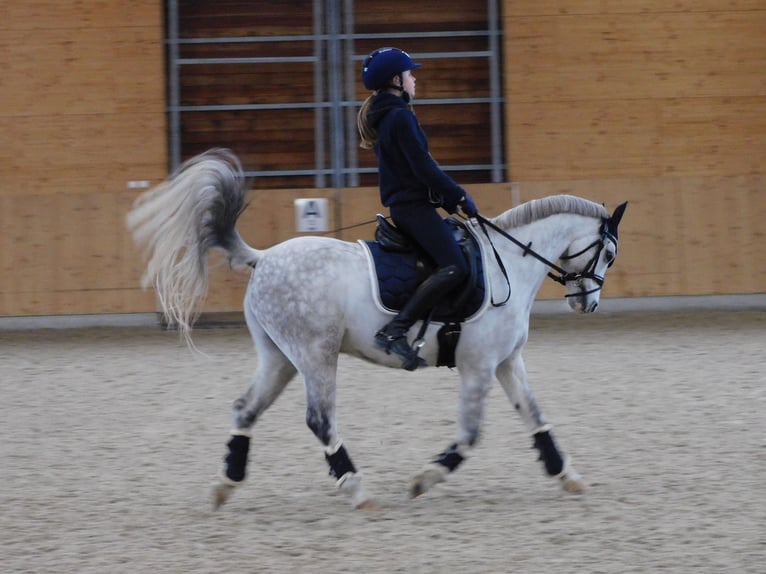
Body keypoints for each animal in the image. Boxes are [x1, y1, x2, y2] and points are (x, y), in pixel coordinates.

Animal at [126, 148, 627, 510]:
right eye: (608, 254)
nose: (588, 302)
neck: (509, 262)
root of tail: (264, 256)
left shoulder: (507, 362)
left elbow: (535, 415)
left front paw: (568, 476)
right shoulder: (479, 366)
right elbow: (470, 434)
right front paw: (424, 479)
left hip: (279, 358)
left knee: (246, 409)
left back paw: (225, 486)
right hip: (315, 354)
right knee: (319, 419)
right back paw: (357, 489)